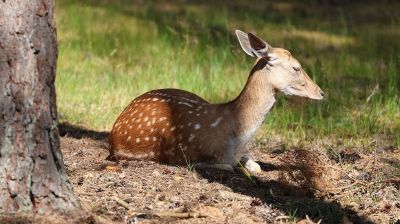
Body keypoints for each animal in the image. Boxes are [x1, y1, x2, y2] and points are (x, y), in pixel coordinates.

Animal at [108, 30, 324, 173]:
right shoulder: (189, 157)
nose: (321, 92)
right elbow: (228, 166)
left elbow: (256, 166)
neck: (235, 137)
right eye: (297, 68)